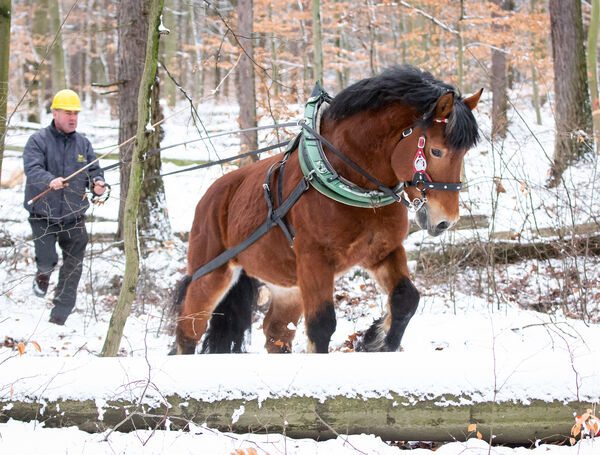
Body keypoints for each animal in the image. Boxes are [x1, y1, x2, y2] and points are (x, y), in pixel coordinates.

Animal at [171, 64, 480, 356]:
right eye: (437, 151)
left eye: (464, 153)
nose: (446, 221)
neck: (347, 179)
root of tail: (212, 196)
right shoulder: (314, 260)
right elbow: (321, 325)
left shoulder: (383, 251)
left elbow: (406, 298)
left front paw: (375, 341)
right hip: (212, 274)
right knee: (188, 331)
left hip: (287, 286)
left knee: (276, 333)